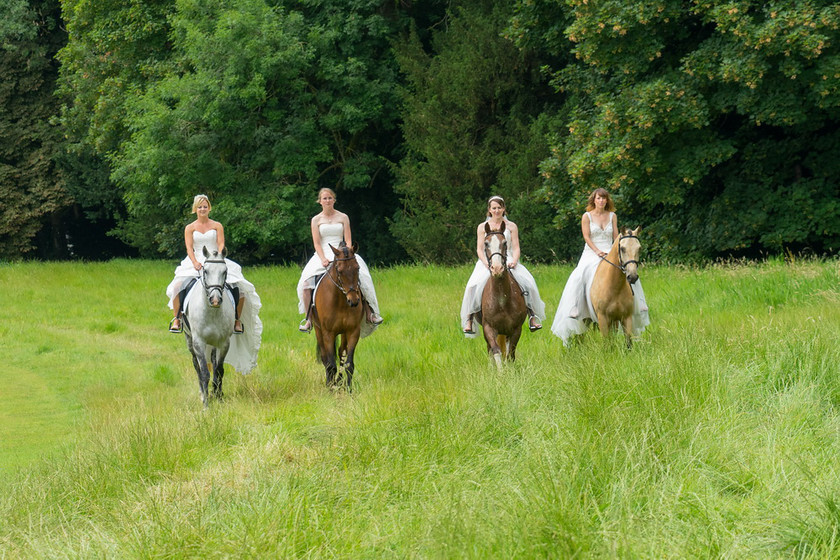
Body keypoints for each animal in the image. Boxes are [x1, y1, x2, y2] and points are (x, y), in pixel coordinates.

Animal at [182, 247, 235, 410]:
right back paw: (202, 394)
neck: (212, 312)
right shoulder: (198, 342)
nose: (215, 300)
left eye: (225, 271)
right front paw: (206, 405)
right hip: (190, 340)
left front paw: (219, 397)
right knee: (196, 365)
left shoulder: (224, 342)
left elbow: (219, 369)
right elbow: (204, 372)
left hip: (213, 344)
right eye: (205, 271)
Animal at [308, 243, 360, 392]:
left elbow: (349, 364)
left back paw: (339, 381)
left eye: (357, 268)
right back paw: (330, 382)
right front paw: (330, 389)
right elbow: (331, 364)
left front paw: (349, 390)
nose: (354, 301)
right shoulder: (328, 333)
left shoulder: (353, 331)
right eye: (340, 270)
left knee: (341, 353)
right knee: (325, 357)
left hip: (343, 333)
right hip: (318, 330)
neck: (341, 301)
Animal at [480, 221, 524, 370]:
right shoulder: (488, 328)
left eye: (504, 243)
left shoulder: (516, 329)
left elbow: (510, 355)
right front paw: (500, 374)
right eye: (486, 243)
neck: (501, 300)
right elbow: (496, 351)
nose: (497, 269)